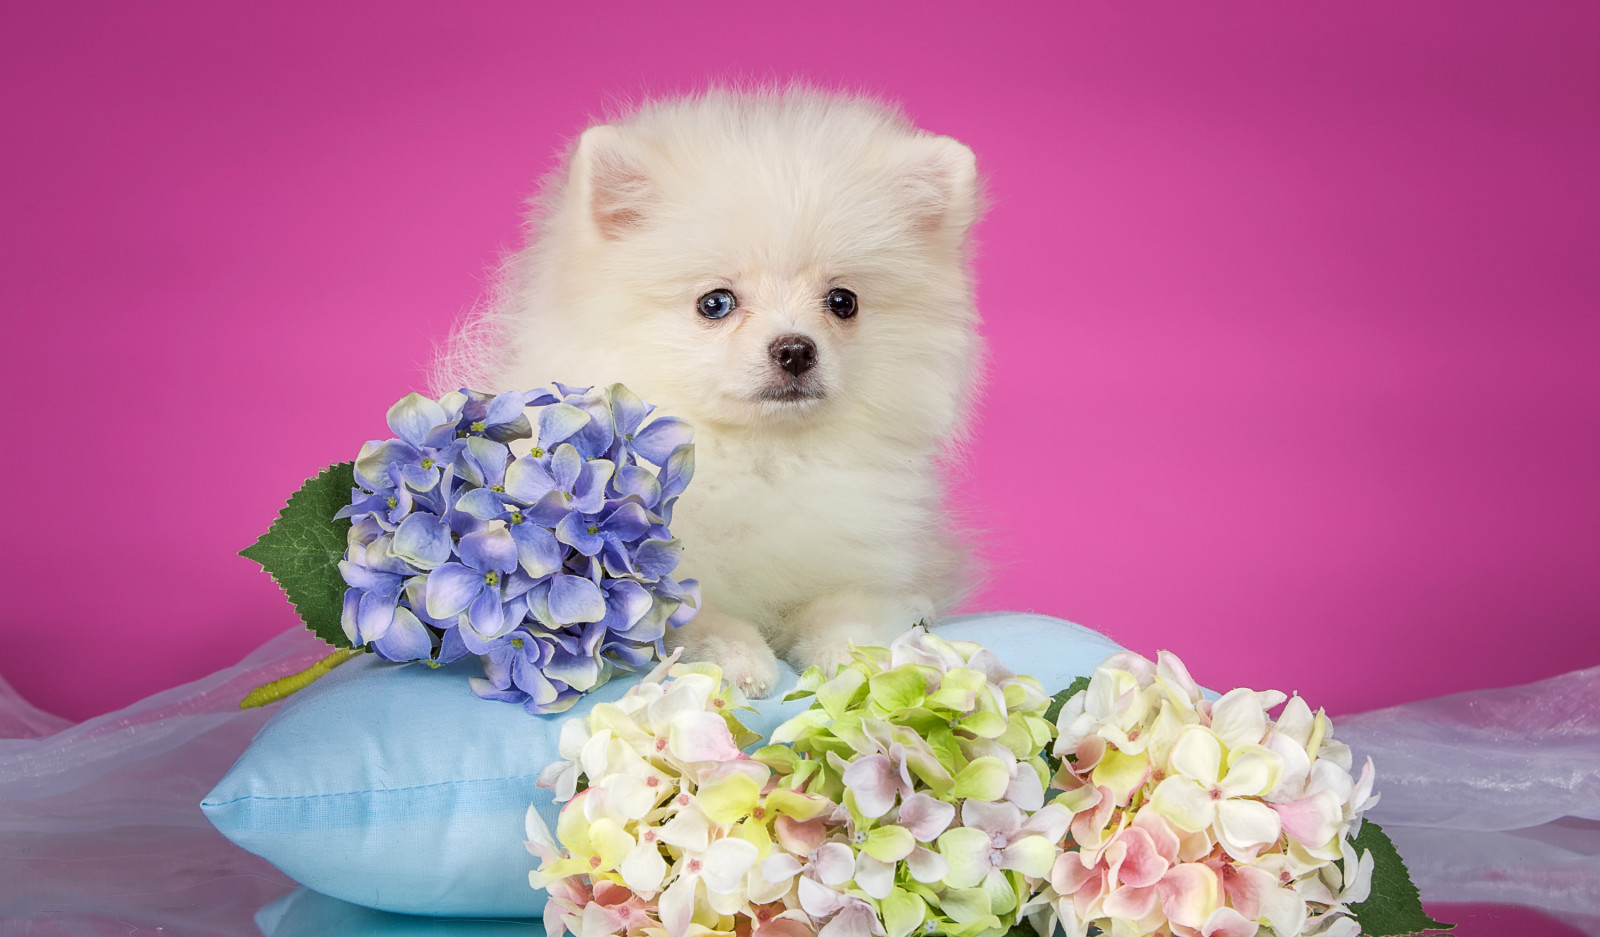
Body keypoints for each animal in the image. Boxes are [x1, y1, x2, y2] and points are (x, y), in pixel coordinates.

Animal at [441, 89, 985, 693]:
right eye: (715, 303)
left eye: (843, 302)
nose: (795, 349)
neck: (760, 456)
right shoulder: (650, 579)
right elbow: (694, 616)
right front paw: (738, 658)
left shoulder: (856, 562)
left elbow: (845, 609)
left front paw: (851, 657)